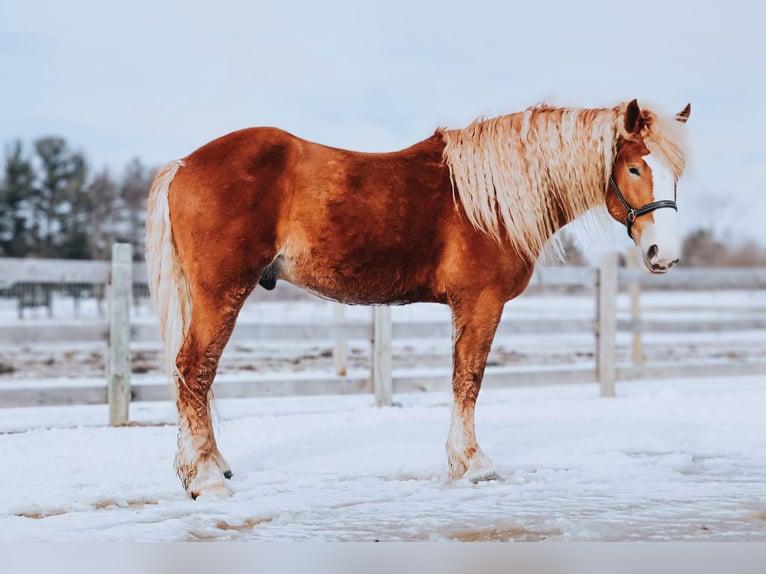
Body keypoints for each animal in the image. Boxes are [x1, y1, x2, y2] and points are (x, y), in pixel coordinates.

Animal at [147, 98, 692, 500]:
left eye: (676, 173)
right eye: (635, 168)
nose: (663, 254)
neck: (489, 198)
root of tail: (184, 165)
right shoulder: (480, 302)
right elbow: (468, 380)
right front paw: (472, 465)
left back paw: (211, 465)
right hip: (221, 292)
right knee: (194, 369)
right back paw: (206, 480)